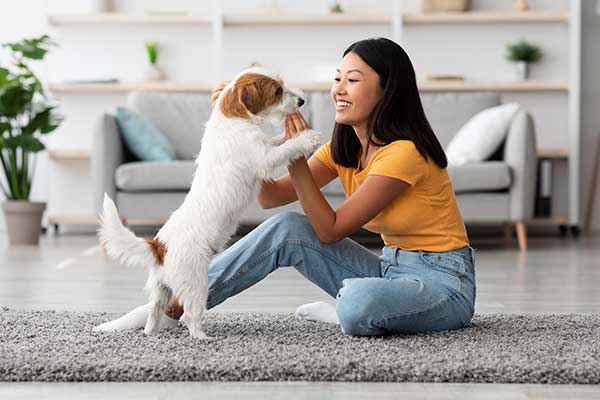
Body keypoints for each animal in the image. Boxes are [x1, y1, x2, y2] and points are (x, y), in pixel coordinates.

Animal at [98, 67, 324, 340]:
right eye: (277, 91)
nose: (302, 101)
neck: (232, 118)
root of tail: (159, 245)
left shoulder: (264, 144)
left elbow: (276, 139)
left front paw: (289, 133)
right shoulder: (264, 158)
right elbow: (286, 148)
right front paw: (307, 137)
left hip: (161, 288)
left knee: (154, 311)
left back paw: (151, 333)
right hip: (196, 285)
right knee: (189, 315)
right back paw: (202, 337)